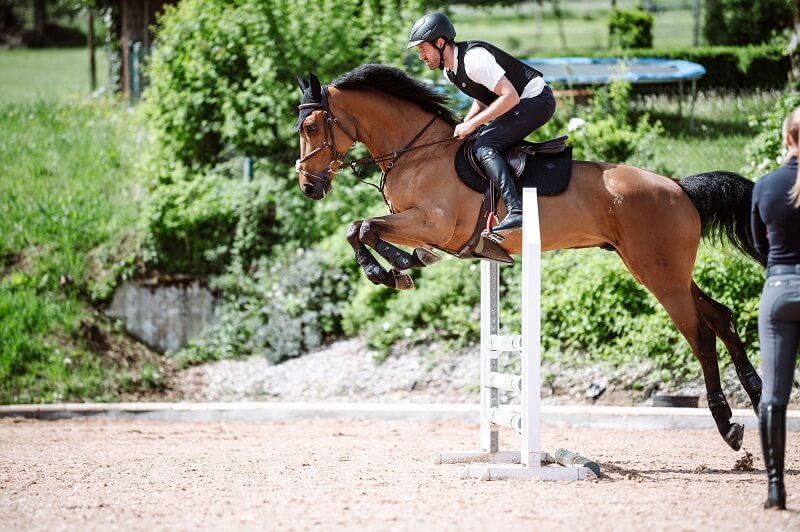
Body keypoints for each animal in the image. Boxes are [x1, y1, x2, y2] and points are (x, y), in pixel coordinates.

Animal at [296, 64, 764, 450]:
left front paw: (392, 269)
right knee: (721, 317)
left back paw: (728, 425)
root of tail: (679, 187)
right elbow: (359, 229)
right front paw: (403, 267)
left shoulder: (432, 223)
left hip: (658, 274)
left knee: (700, 334)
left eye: (313, 125)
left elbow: (363, 228)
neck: (418, 153)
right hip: (663, 270)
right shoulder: (420, 225)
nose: (308, 187)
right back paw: (757, 394)